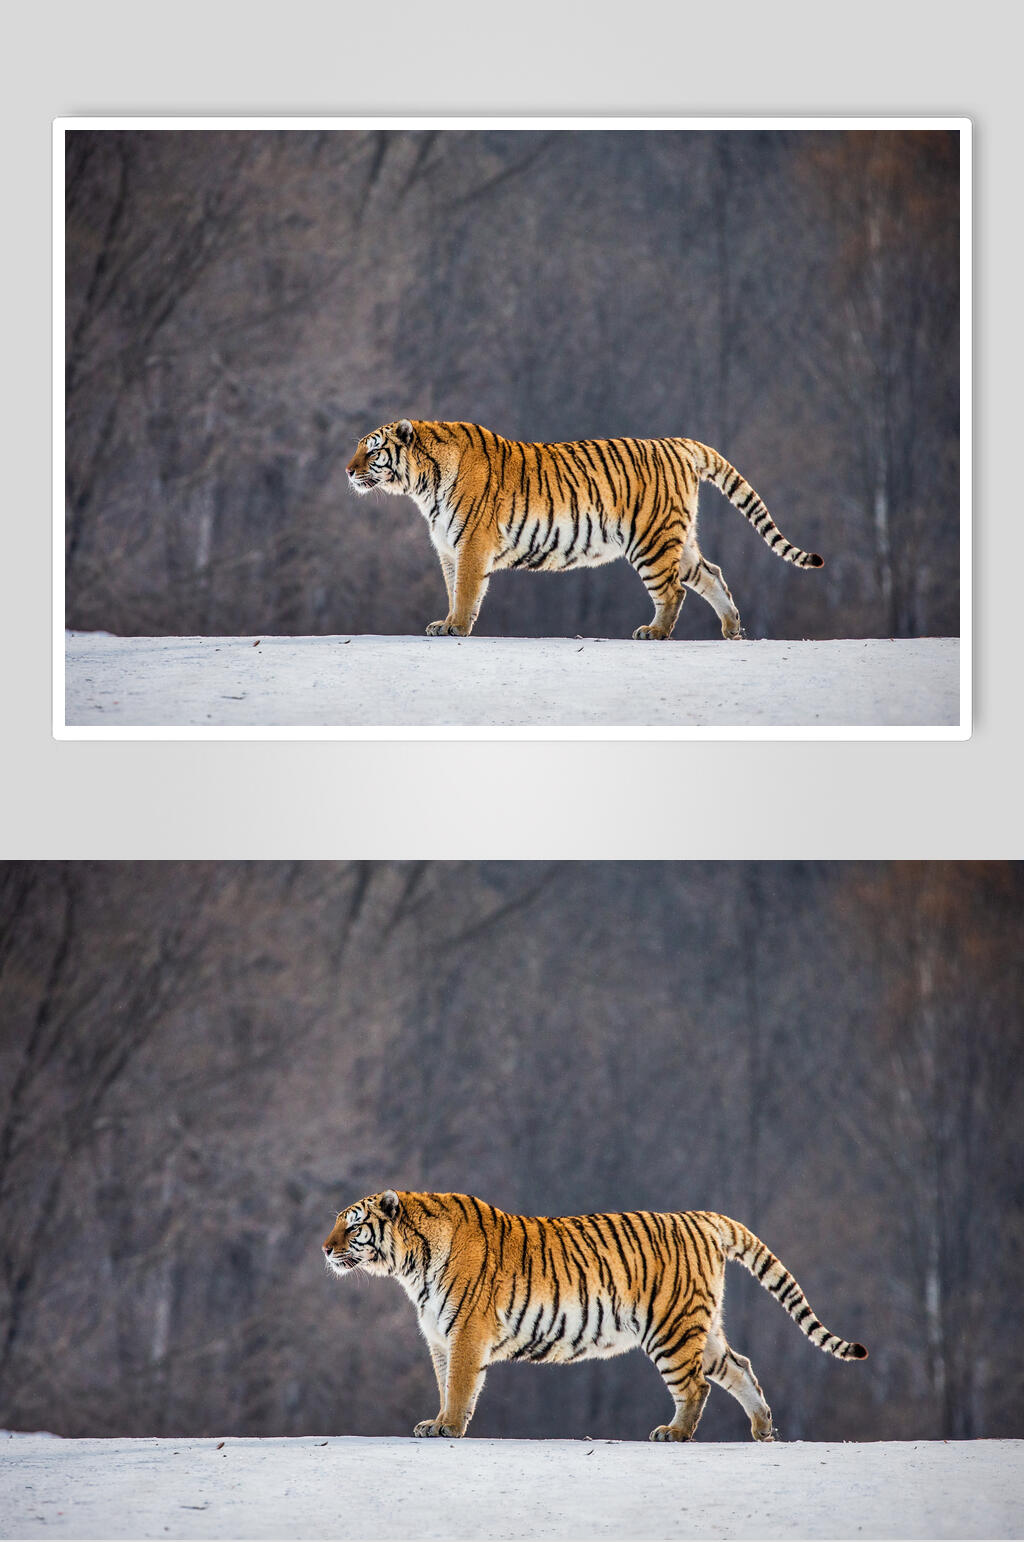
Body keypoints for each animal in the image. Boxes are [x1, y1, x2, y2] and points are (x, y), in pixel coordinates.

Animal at [322, 1190, 866, 1442]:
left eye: (352, 1226)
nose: (324, 1249)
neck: (408, 1265)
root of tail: (702, 1217)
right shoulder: (439, 1337)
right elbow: (444, 1385)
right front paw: (436, 1422)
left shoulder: (465, 1333)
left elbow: (458, 1386)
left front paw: (448, 1428)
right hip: (702, 1328)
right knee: (740, 1367)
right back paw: (763, 1431)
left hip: (670, 1329)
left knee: (696, 1385)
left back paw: (674, 1434)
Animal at [345, 420, 823, 640]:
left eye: (372, 451)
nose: (347, 470)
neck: (420, 485)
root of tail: (678, 443)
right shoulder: (448, 549)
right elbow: (452, 590)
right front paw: (444, 623)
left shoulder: (471, 545)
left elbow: (465, 592)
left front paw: (456, 628)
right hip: (679, 540)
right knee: (712, 574)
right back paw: (732, 630)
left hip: (651, 541)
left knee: (673, 591)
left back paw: (654, 633)